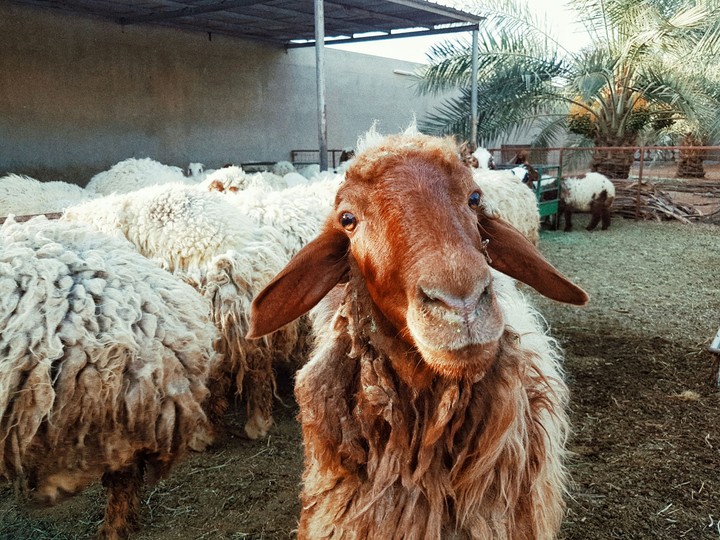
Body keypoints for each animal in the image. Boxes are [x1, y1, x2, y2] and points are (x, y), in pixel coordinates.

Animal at [62, 184, 294, 440]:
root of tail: (238, 258)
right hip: (251, 327)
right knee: (258, 371)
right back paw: (257, 424)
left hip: (208, 323)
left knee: (212, 378)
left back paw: (204, 433)